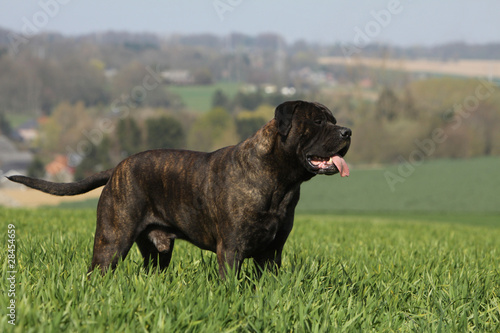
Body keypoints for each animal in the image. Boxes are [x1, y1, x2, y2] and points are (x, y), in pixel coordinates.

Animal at [8, 100, 352, 276]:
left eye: (334, 119)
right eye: (318, 121)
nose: (348, 131)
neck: (280, 181)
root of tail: (117, 167)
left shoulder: (272, 252)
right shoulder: (232, 249)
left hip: (157, 251)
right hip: (112, 241)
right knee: (99, 269)